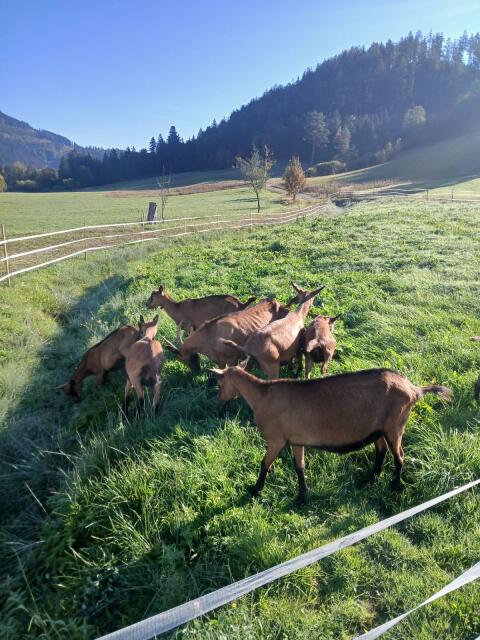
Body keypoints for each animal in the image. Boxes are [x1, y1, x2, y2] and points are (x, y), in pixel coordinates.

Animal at [164, 298, 292, 371]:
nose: (197, 372)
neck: (210, 335)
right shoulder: (220, 361)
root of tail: (275, 302)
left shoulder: (232, 359)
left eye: (181, 359)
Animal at [209, 365, 451, 502]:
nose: (218, 404)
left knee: (399, 455)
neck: (262, 395)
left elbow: (264, 464)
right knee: (381, 450)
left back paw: (395, 487)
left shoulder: (276, 440)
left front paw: (255, 490)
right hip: (379, 429)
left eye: (219, 383)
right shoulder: (295, 440)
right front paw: (302, 497)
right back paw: (370, 479)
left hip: (395, 426)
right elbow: (299, 467)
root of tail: (414, 389)